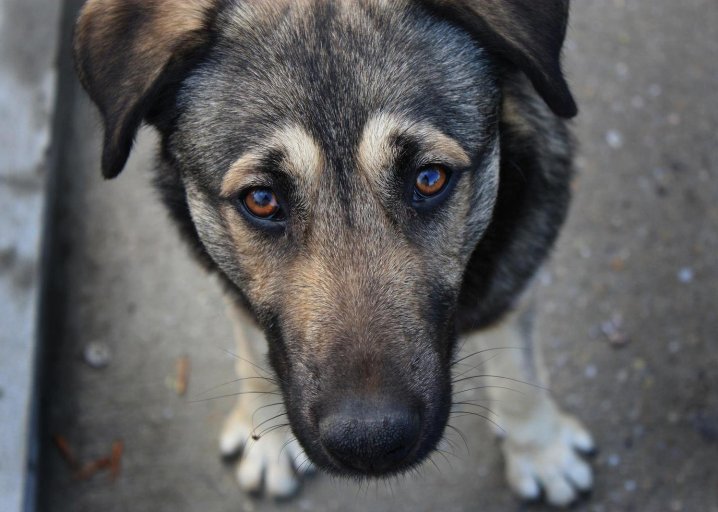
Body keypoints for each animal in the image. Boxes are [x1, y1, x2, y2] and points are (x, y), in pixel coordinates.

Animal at [74, 0, 596, 506]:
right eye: (261, 199)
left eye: (430, 178)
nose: (371, 444)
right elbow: (253, 344)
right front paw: (265, 434)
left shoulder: (517, 263)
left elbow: (519, 366)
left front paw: (541, 450)